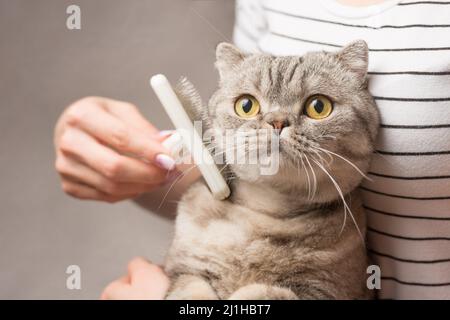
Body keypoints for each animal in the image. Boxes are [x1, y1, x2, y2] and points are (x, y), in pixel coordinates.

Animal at [163, 40, 378, 300]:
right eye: (246, 105)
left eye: (319, 106)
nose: (277, 121)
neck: (264, 214)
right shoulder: (184, 270)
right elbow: (190, 291)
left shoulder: (326, 291)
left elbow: (261, 292)